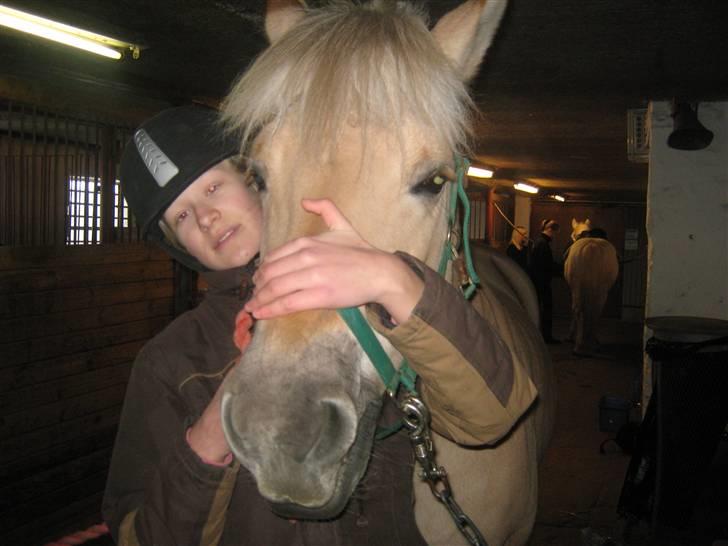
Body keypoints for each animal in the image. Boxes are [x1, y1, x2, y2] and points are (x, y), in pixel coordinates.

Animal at [564, 217, 616, 356]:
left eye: (572, 235)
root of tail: (591, 246)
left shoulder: (573, 289)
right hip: (602, 290)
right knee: (596, 311)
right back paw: (592, 341)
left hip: (578, 287)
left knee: (578, 309)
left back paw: (578, 344)